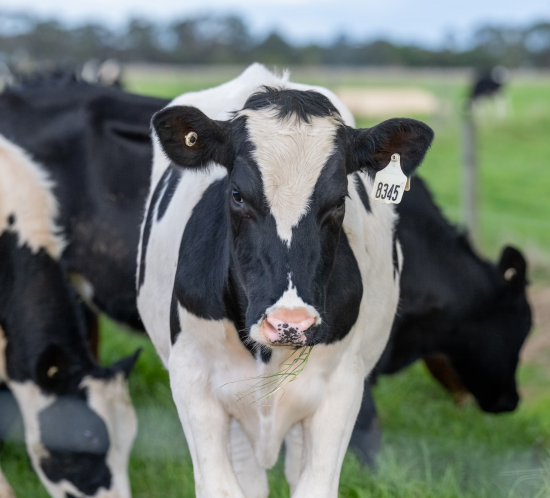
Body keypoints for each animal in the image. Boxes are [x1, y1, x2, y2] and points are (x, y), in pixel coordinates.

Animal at [137, 64, 436, 496]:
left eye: (339, 200)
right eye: (237, 193)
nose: (289, 324)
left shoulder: (342, 387)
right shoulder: (191, 379)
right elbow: (221, 486)